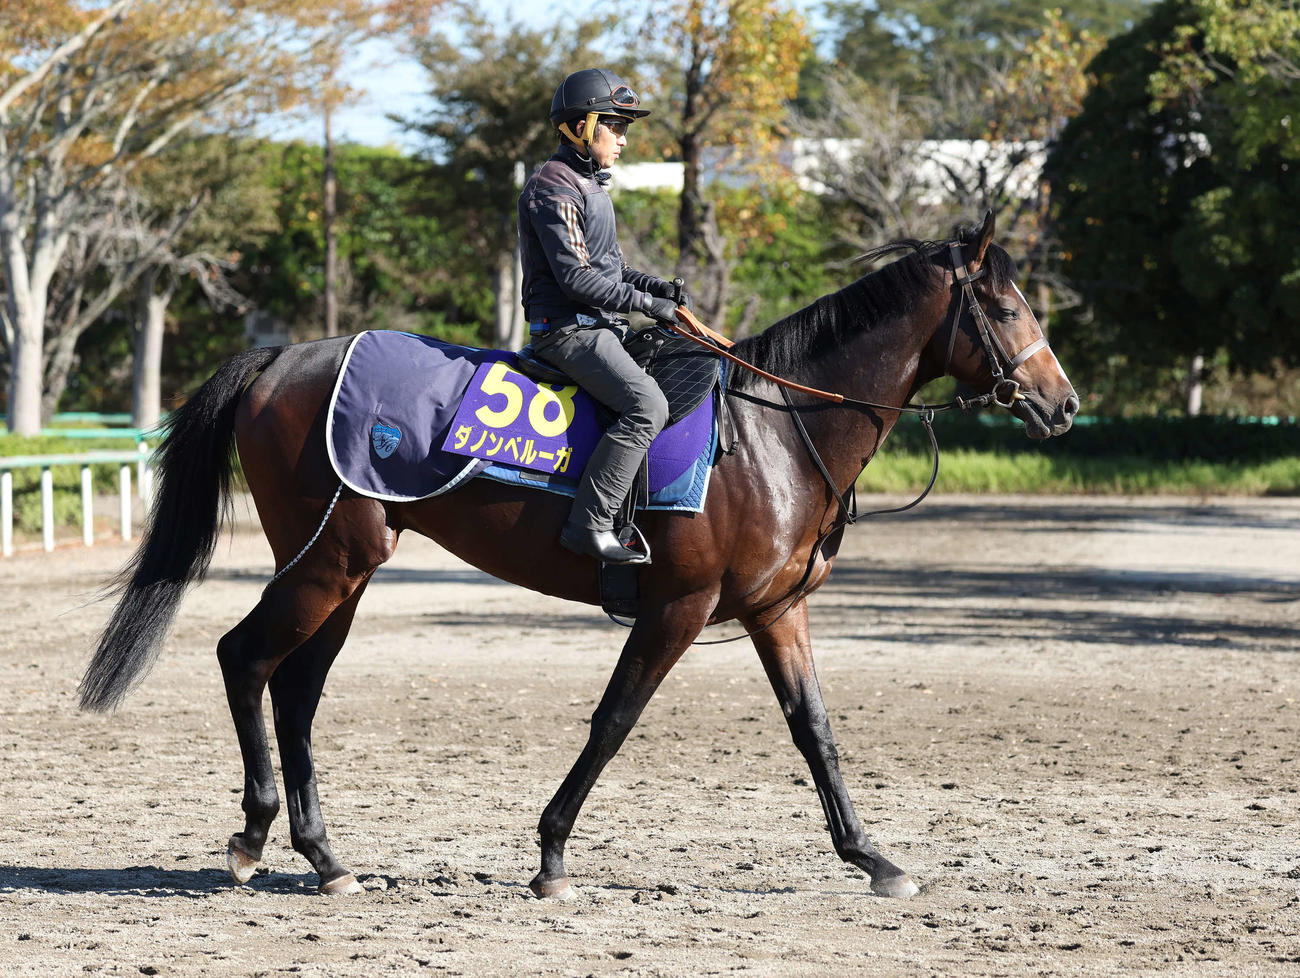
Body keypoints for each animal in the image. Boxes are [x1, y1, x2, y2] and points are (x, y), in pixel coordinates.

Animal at [79, 212, 1077, 901]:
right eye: (1004, 305)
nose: (1063, 403)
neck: (774, 432)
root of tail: (284, 358)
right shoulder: (677, 607)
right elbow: (613, 721)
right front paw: (553, 854)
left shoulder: (775, 611)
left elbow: (815, 730)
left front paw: (873, 856)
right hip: (329, 561)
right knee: (244, 658)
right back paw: (254, 839)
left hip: (346, 570)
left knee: (295, 688)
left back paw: (325, 857)